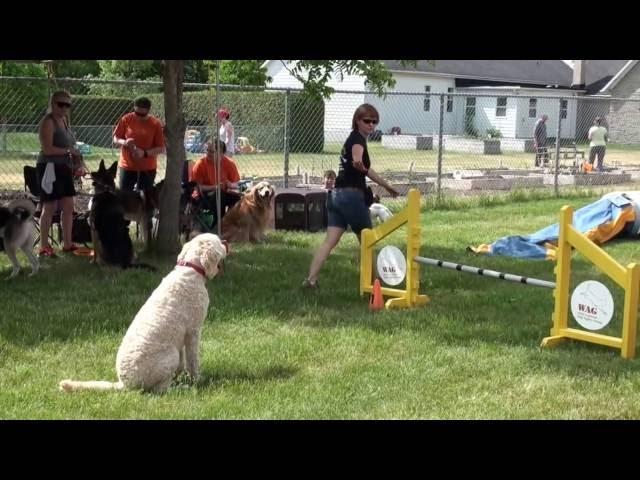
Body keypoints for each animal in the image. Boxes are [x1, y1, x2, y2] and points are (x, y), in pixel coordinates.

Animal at [58, 232, 228, 394]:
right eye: (219, 241)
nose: (227, 242)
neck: (190, 270)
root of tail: (124, 384)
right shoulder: (193, 331)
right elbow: (193, 360)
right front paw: (197, 379)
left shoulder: (182, 335)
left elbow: (183, 361)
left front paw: (183, 375)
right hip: (169, 355)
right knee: (159, 390)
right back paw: (181, 388)